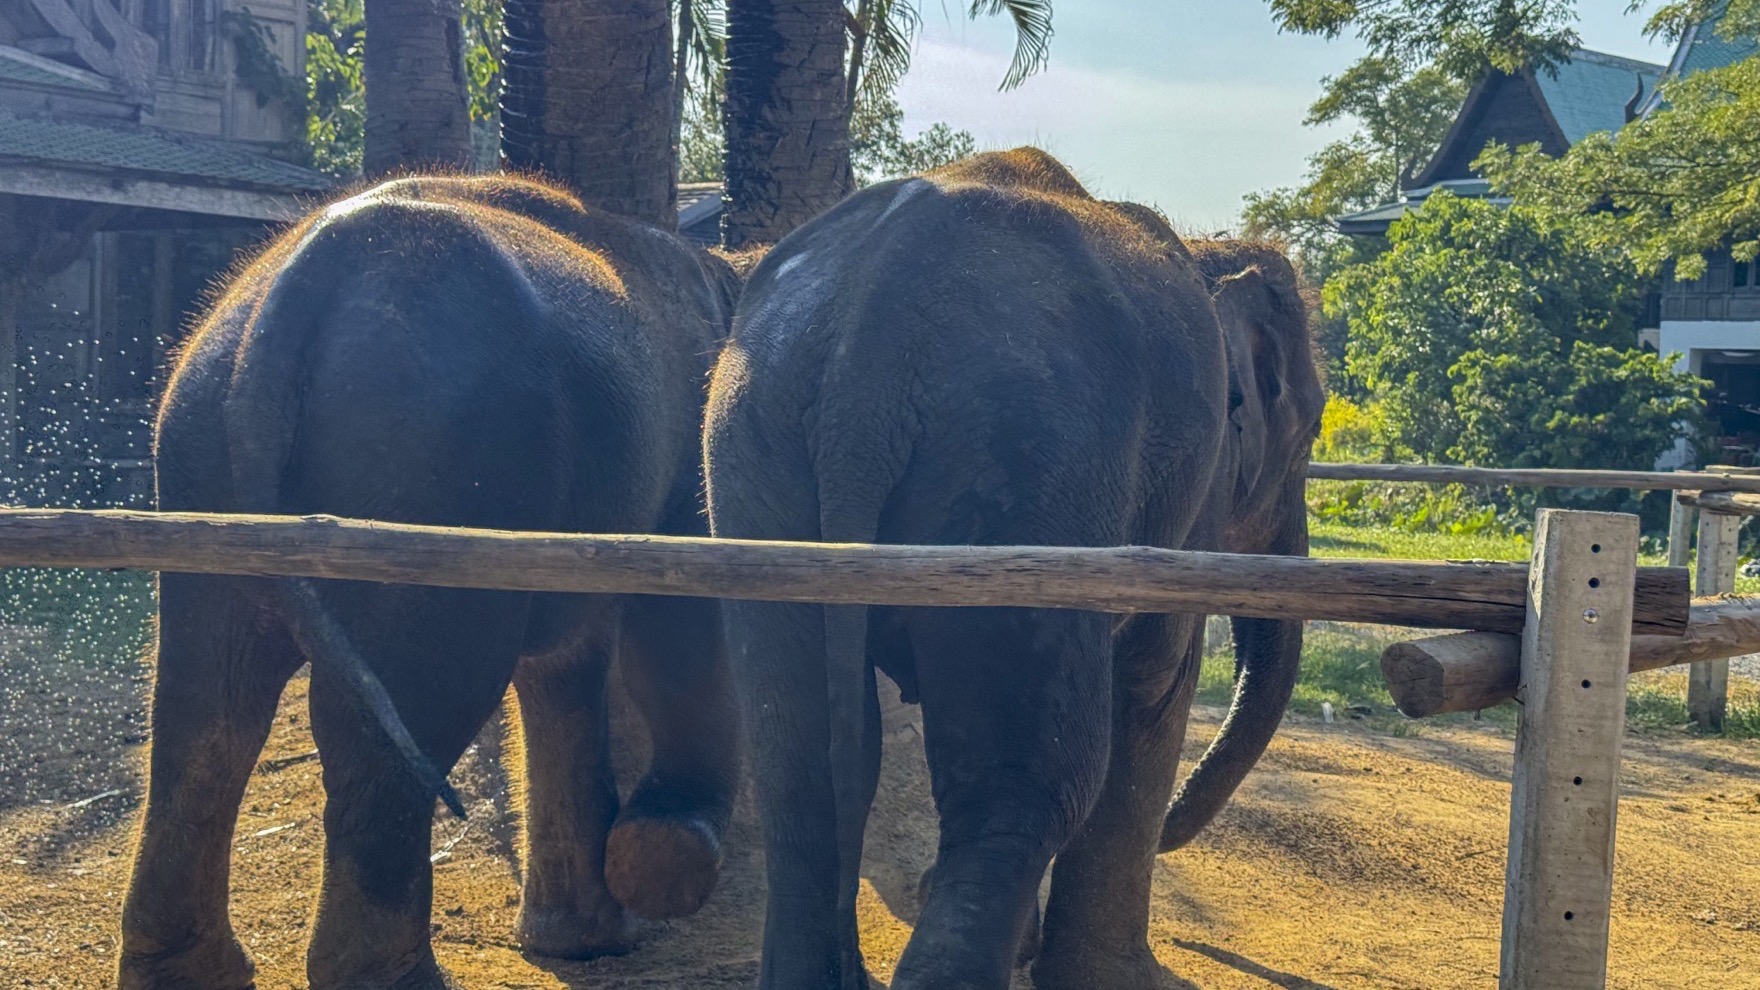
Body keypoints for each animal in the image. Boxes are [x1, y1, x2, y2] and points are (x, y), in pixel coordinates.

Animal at [120, 174, 742, 990]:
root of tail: (299, 282)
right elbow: (683, 621)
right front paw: (664, 860)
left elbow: (566, 663)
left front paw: (588, 940)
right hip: (432, 478)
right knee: (400, 713)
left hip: (200, 463)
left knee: (203, 710)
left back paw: (190, 972)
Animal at [702, 148, 1323, 990]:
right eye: (1312, 428)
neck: (1207, 252)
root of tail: (866, 351)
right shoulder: (1188, 494)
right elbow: (1158, 681)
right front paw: (1119, 980)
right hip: (1023, 462)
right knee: (1032, 785)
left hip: (757, 455)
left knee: (802, 762)